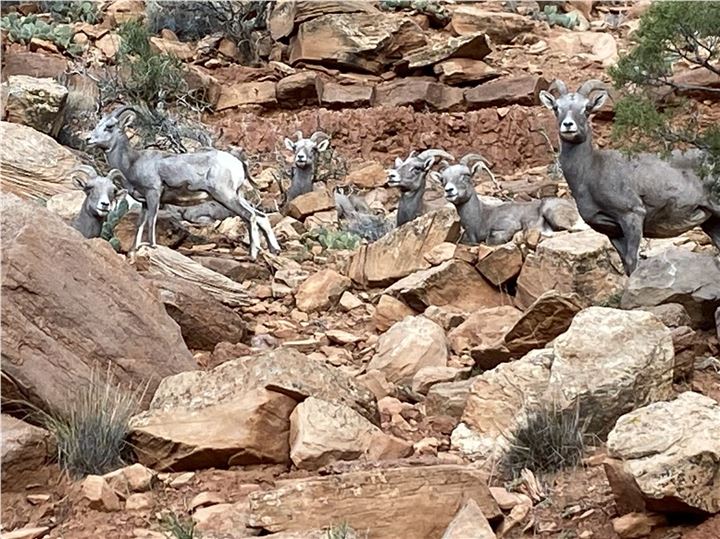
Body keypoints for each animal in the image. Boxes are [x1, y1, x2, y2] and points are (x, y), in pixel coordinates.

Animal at [434, 152, 580, 245]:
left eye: (466, 176)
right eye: (443, 180)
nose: (449, 190)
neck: (480, 218)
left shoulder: (508, 226)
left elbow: (489, 240)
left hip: (552, 213)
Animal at [540, 78, 720, 276]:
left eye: (587, 108)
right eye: (556, 107)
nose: (568, 125)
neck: (589, 173)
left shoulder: (632, 216)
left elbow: (632, 261)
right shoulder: (613, 231)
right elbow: (625, 264)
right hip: (711, 222)